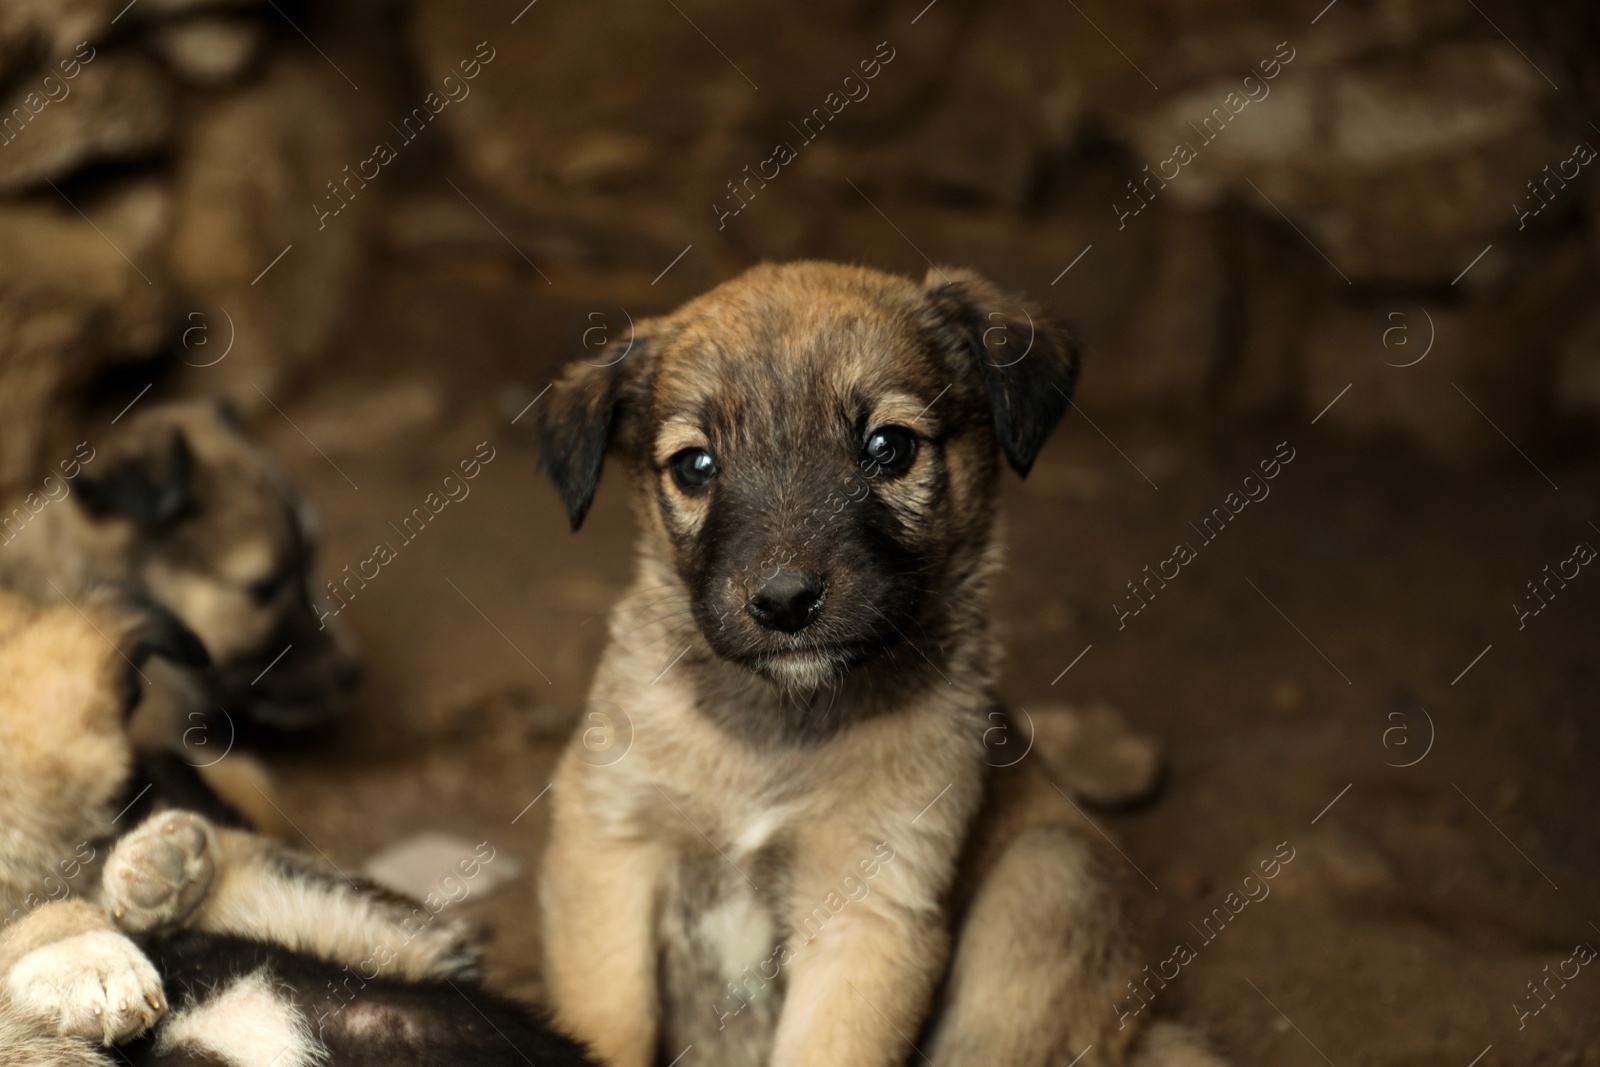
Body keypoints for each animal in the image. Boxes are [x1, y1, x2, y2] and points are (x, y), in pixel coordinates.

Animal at [537, 260, 1222, 1067]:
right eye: (695, 466)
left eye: (889, 447)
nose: (785, 600)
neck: (777, 728)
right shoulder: (609, 850)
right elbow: (610, 1021)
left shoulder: (870, 907)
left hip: (1049, 882)